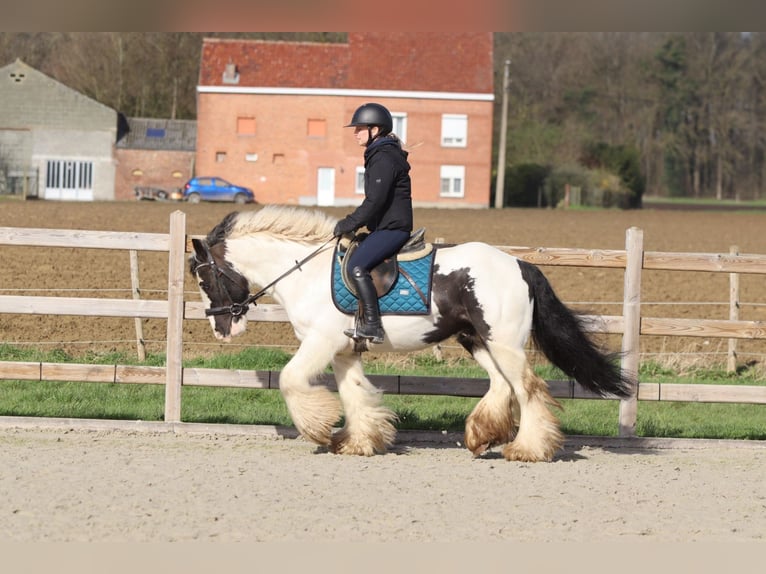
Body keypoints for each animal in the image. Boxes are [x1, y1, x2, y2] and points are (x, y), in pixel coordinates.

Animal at [189, 205, 634, 462]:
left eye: (205, 279)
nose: (220, 328)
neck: (304, 271)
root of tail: (520, 265)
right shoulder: (344, 350)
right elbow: (354, 394)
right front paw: (360, 441)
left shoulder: (321, 342)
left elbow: (289, 379)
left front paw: (317, 427)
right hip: (477, 340)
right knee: (502, 386)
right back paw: (480, 437)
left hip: (504, 342)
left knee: (529, 389)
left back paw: (527, 449)